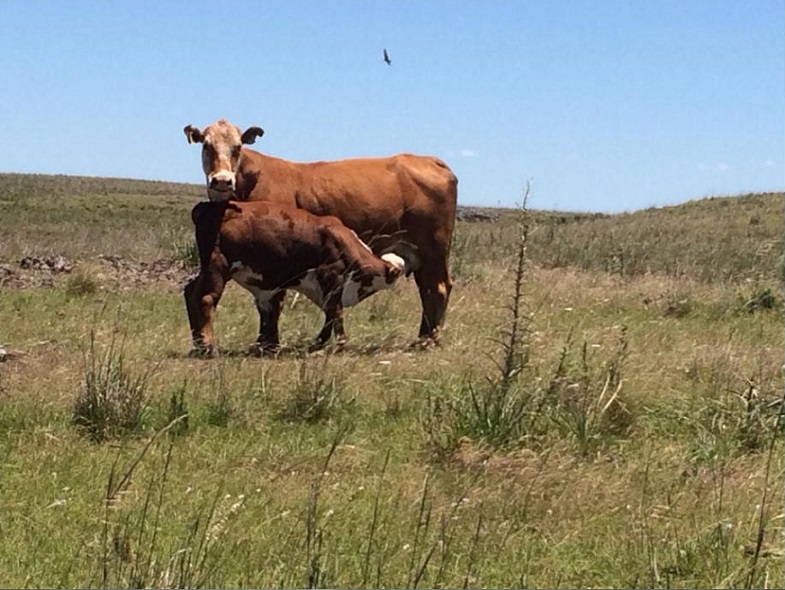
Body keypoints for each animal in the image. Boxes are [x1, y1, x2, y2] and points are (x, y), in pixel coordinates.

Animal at [182, 200, 404, 356]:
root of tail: (209, 207)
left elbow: (273, 312)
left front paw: (268, 346)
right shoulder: (331, 276)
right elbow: (336, 313)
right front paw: (339, 345)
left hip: (207, 269)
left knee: (190, 292)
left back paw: (198, 344)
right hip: (217, 266)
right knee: (205, 298)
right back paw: (209, 345)